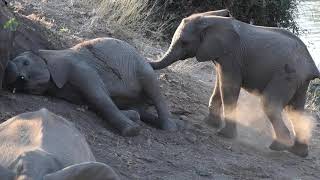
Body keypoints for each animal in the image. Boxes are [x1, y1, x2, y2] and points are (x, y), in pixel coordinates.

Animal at [5, 38, 176, 136]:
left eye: (26, 63)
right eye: (19, 84)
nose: (20, 77)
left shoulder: (79, 68)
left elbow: (98, 97)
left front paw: (132, 131)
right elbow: (92, 103)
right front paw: (133, 117)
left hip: (141, 66)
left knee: (153, 89)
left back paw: (168, 128)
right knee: (141, 107)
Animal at [150, 9, 320, 157]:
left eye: (184, 42)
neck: (210, 20)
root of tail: (310, 65)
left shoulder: (231, 56)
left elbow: (228, 86)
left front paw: (224, 134)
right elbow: (219, 84)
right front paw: (209, 124)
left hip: (286, 76)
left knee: (270, 103)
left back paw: (277, 147)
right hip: (298, 81)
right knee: (295, 110)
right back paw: (298, 152)